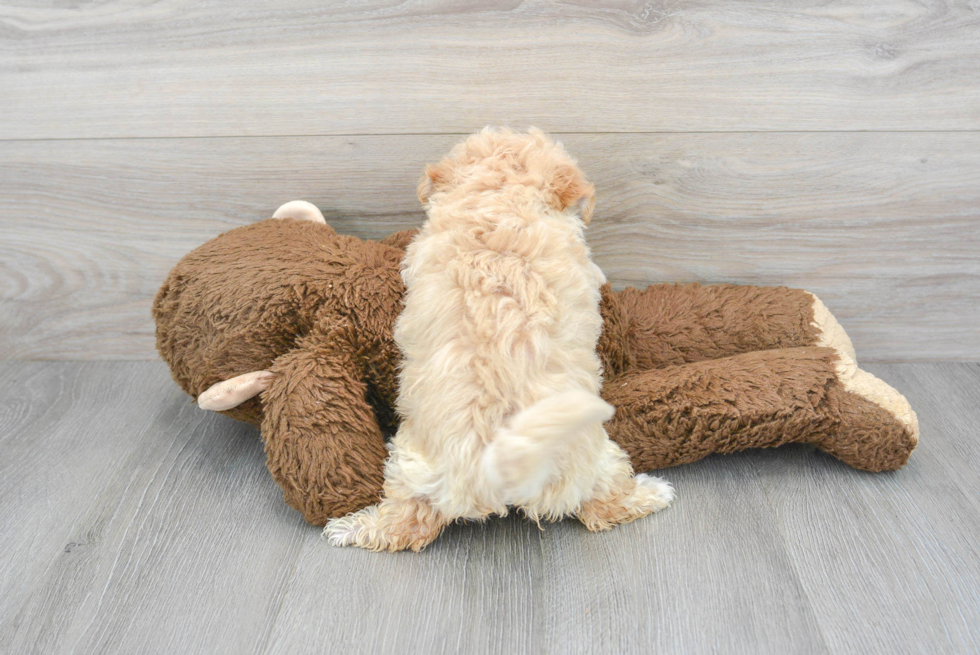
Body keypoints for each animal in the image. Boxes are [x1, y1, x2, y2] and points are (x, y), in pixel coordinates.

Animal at [326, 125, 668, 552]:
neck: (499, 201)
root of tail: (504, 460)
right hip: (594, 456)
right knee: (602, 507)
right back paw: (653, 493)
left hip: (413, 464)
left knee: (409, 523)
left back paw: (351, 528)